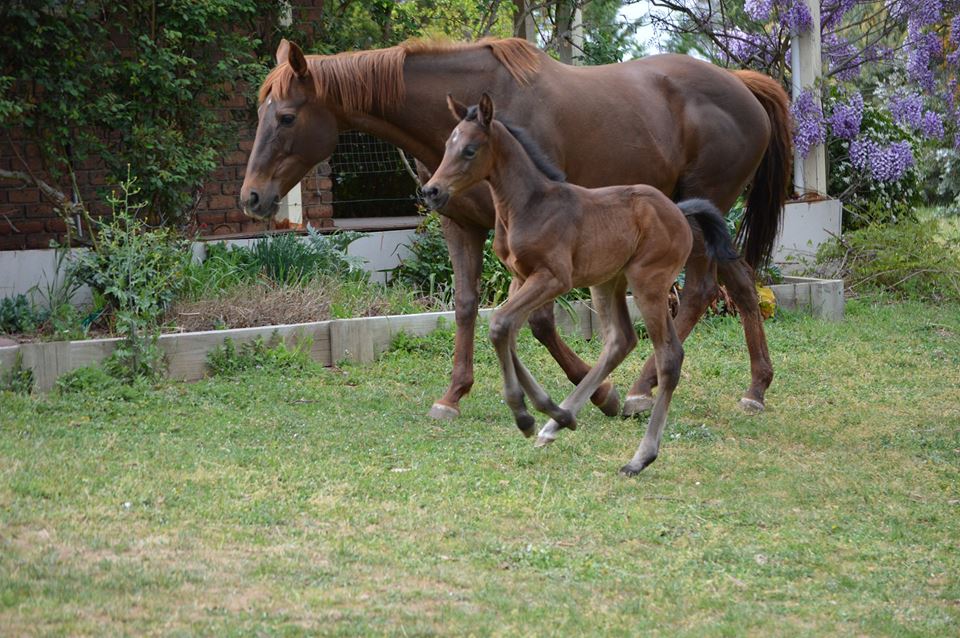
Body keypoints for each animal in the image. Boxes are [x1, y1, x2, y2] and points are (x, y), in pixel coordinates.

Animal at [424, 95, 740, 476]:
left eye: (469, 150)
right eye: (447, 145)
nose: (431, 191)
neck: (528, 205)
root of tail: (679, 211)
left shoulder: (554, 277)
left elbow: (501, 325)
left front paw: (523, 415)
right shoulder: (520, 278)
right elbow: (506, 332)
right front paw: (548, 413)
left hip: (648, 282)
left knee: (668, 356)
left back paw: (639, 458)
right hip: (608, 282)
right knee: (621, 340)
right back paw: (558, 423)